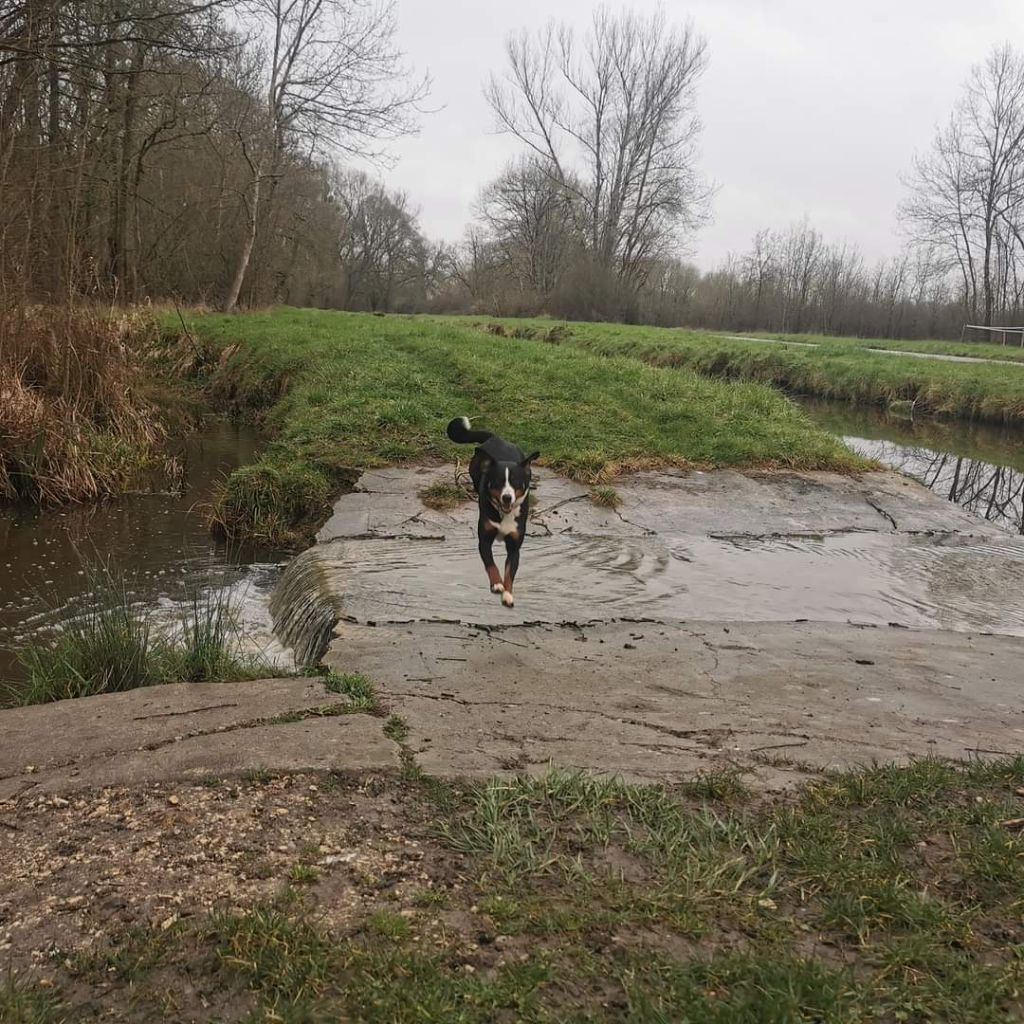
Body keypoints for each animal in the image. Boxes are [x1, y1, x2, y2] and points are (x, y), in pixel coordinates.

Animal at [446, 415, 540, 606]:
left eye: (516, 482)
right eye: (498, 482)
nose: (507, 497)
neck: (504, 514)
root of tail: (496, 438)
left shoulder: (514, 547)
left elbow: (510, 572)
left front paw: (508, 594)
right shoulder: (484, 541)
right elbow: (491, 565)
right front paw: (497, 584)